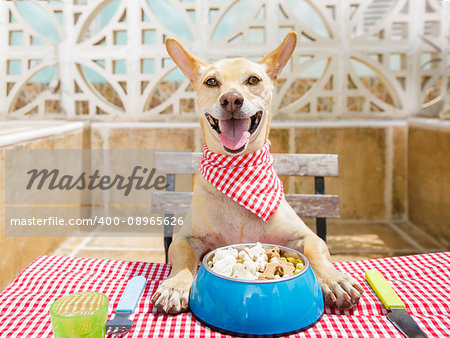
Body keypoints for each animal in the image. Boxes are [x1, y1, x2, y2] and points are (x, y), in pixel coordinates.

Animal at [153, 32, 364, 314]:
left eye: (253, 79)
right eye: (211, 82)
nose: (231, 99)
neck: (238, 171)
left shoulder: (306, 236)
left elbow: (316, 251)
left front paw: (334, 279)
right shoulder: (186, 239)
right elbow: (185, 258)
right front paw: (175, 284)